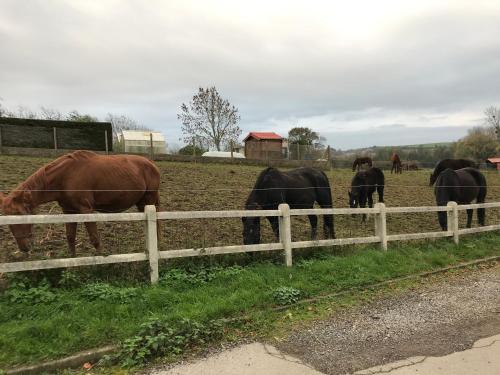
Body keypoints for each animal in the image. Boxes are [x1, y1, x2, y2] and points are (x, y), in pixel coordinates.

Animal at [0, 151, 160, 258]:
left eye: (21, 214)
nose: (24, 248)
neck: (65, 176)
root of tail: (151, 163)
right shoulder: (69, 211)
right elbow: (70, 237)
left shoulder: (86, 209)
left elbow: (94, 238)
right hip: (142, 203)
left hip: (149, 199)